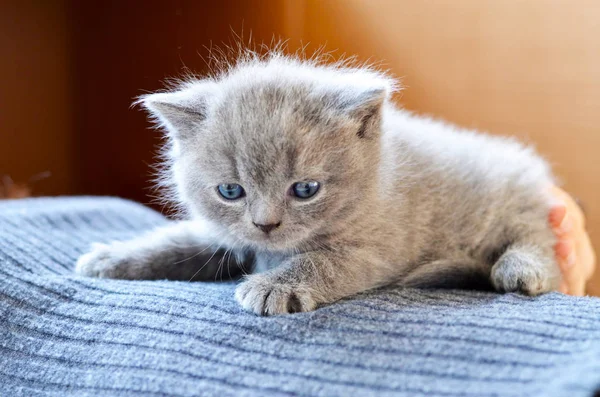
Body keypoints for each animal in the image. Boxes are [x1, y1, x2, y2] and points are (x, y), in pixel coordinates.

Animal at [75, 51, 556, 316]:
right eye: (231, 191)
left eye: (305, 190)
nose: (265, 225)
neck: (380, 179)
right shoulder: (227, 235)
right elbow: (180, 242)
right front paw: (113, 258)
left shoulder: (380, 247)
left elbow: (323, 260)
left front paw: (274, 286)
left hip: (520, 198)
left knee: (536, 236)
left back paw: (521, 269)